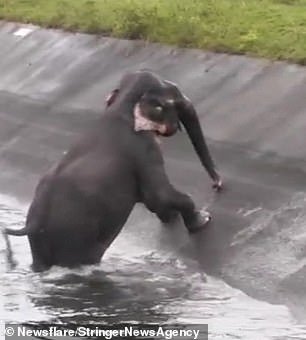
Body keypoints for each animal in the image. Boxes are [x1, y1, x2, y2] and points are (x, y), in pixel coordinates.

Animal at [4, 70, 222, 272]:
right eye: (174, 97)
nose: (218, 185)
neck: (123, 103)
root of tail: (32, 223)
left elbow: (152, 199)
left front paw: (171, 217)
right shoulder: (142, 148)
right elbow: (158, 195)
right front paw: (204, 219)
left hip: (41, 244)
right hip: (73, 234)